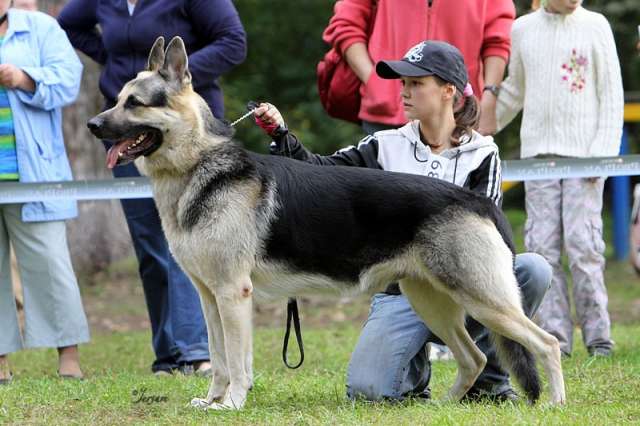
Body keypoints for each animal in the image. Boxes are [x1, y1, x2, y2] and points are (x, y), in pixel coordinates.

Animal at [86, 36, 564, 410]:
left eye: (134, 103)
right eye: (118, 99)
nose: (92, 124)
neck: (199, 164)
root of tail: (476, 200)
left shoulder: (233, 295)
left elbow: (237, 362)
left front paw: (233, 403)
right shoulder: (209, 298)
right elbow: (219, 360)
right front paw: (212, 400)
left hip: (485, 300)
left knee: (546, 344)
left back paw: (555, 404)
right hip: (435, 302)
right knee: (474, 358)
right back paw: (444, 406)